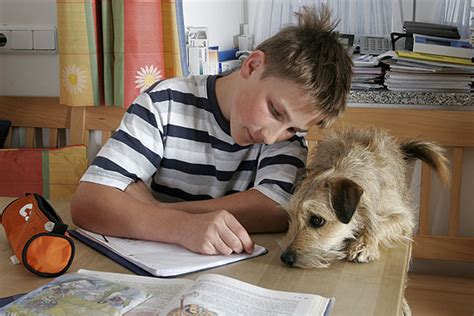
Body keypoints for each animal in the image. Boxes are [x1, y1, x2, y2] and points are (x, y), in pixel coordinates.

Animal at [280, 124, 450, 268]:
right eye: (291, 216)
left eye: (317, 220)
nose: (285, 258)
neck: (342, 166)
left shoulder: (403, 217)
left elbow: (379, 224)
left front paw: (364, 245)